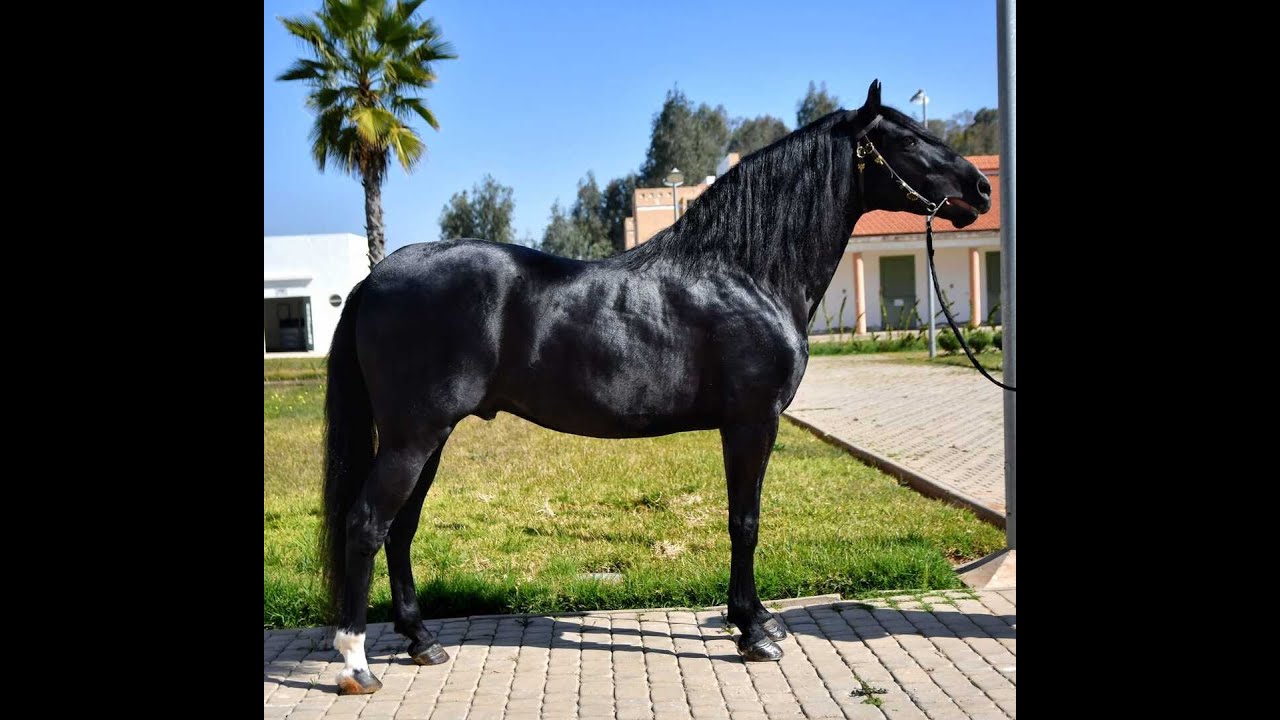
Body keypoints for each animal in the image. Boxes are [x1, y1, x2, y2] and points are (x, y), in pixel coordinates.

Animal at [319, 79, 992, 695]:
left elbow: (743, 518)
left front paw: (756, 620)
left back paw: (421, 641)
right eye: (908, 139)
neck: (747, 271)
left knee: (400, 528)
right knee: (367, 524)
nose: (981, 190)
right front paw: (753, 633)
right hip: (413, 436)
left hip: (427, 437)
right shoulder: (752, 421)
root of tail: (375, 277)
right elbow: (745, 520)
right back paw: (356, 663)